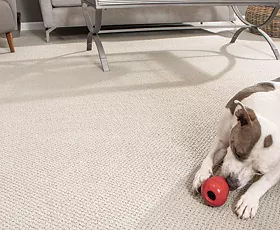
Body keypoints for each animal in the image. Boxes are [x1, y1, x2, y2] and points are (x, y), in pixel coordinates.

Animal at [194, 77, 280, 219]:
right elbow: (209, 157)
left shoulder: (277, 169)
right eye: (237, 152)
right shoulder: (222, 141)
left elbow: (263, 182)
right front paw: (201, 174)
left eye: (259, 172)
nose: (232, 183)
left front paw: (249, 200)